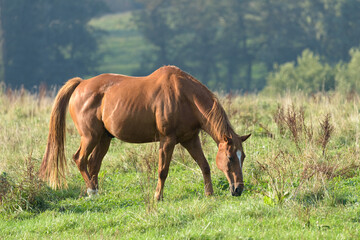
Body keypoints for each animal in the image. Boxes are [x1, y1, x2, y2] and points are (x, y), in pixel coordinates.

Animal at [39, 65, 250, 199]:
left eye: (243, 157)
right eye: (230, 157)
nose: (238, 189)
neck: (184, 96)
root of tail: (81, 84)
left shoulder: (190, 139)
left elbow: (204, 165)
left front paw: (209, 194)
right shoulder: (167, 140)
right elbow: (163, 170)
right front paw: (158, 196)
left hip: (104, 139)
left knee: (93, 164)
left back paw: (96, 193)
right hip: (90, 137)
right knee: (80, 159)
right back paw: (91, 191)